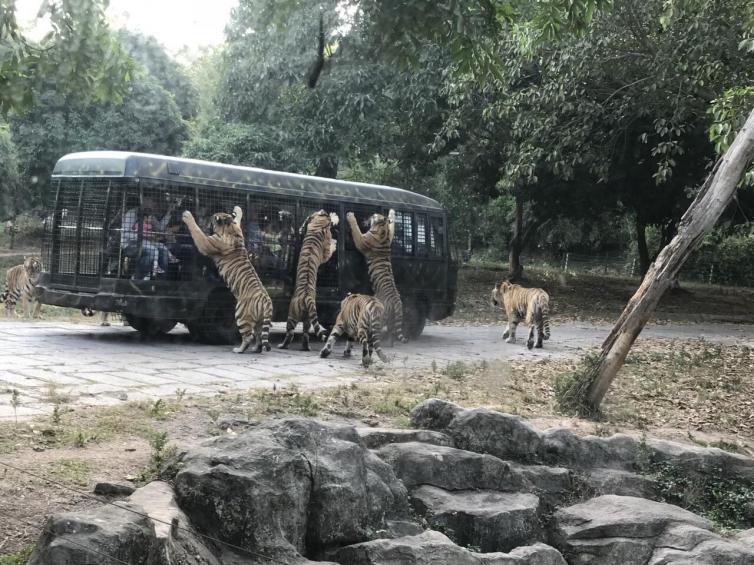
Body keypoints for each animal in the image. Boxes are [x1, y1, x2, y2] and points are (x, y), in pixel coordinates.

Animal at [182, 203, 274, 352]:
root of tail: (266, 301)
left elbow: (197, 231)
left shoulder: (207, 242)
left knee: (248, 336)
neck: (230, 228)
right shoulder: (238, 228)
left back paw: (239, 350)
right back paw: (255, 349)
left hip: (241, 315)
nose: (208, 218)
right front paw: (237, 209)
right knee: (259, 336)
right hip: (260, 321)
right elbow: (239, 219)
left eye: (212, 219)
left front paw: (187, 215)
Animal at [276, 209, 338, 350]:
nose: (324, 210)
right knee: (299, 333)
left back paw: (289, 346)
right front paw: (334, 241)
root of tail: (307, 297)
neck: (318, 226)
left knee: (296, 333)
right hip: (299, 316)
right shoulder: (325, 253)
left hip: (298, 316)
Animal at [346, 209, 408, 346]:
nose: (368, 216)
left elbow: (356, 230)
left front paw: (350, 216)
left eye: (374, 216)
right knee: (391, 332)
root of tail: (397, 301)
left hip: (380, 314)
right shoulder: (390, 235)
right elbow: (392, 225)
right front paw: (392, 212)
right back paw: (389, 344)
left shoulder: (362, 240)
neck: (382, 229)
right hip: (391, 318)